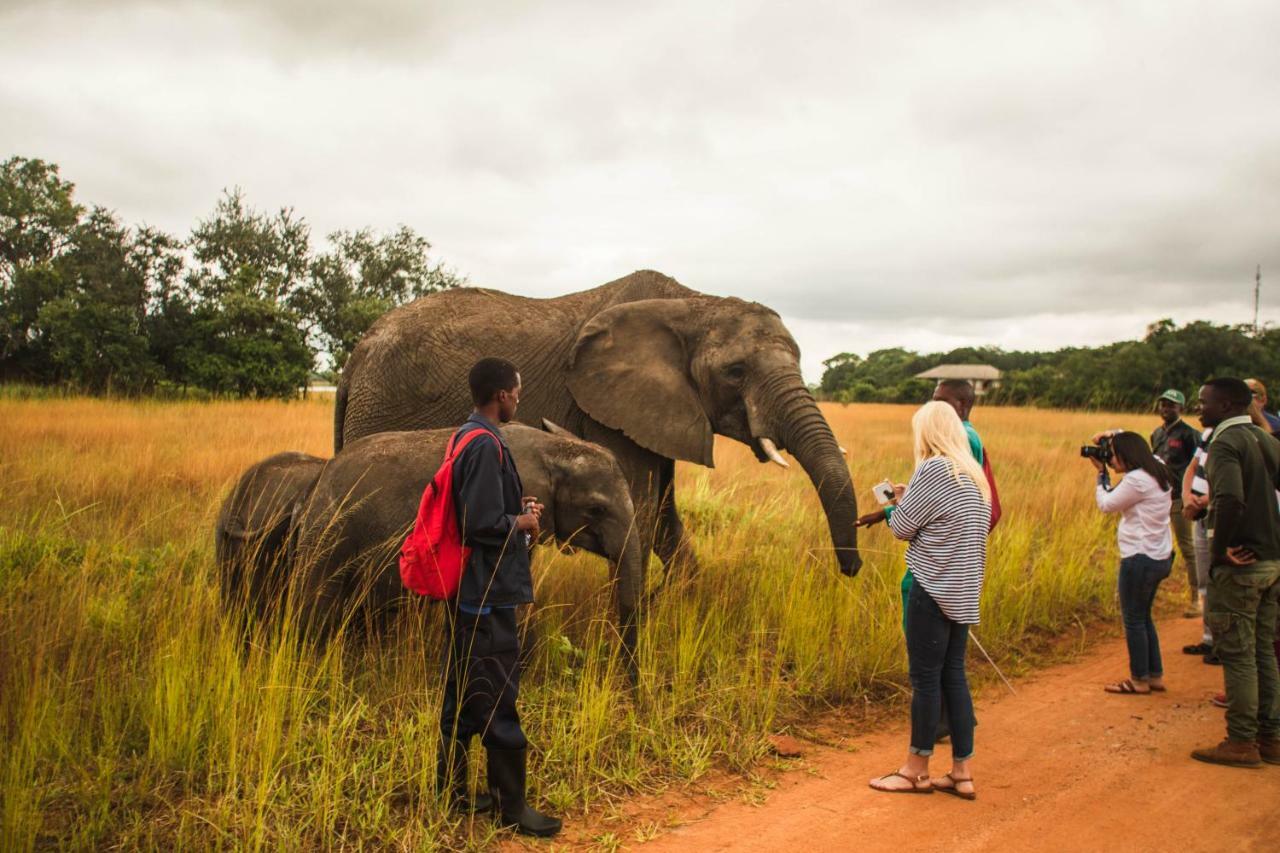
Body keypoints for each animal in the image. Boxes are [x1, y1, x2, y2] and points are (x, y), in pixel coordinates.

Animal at [217, 417, 650, 655]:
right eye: (596, 509)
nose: (630, 689)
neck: (554, 448)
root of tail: (317, 482)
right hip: (329, 534)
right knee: (314, 607)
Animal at [335, 270, 865, 578]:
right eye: (736, 372)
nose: (853, 566)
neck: (693, 304)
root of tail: (357, 353)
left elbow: (663, 517)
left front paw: (687, 609)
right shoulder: (607, 408)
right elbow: (643, 513)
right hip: (381, 409)